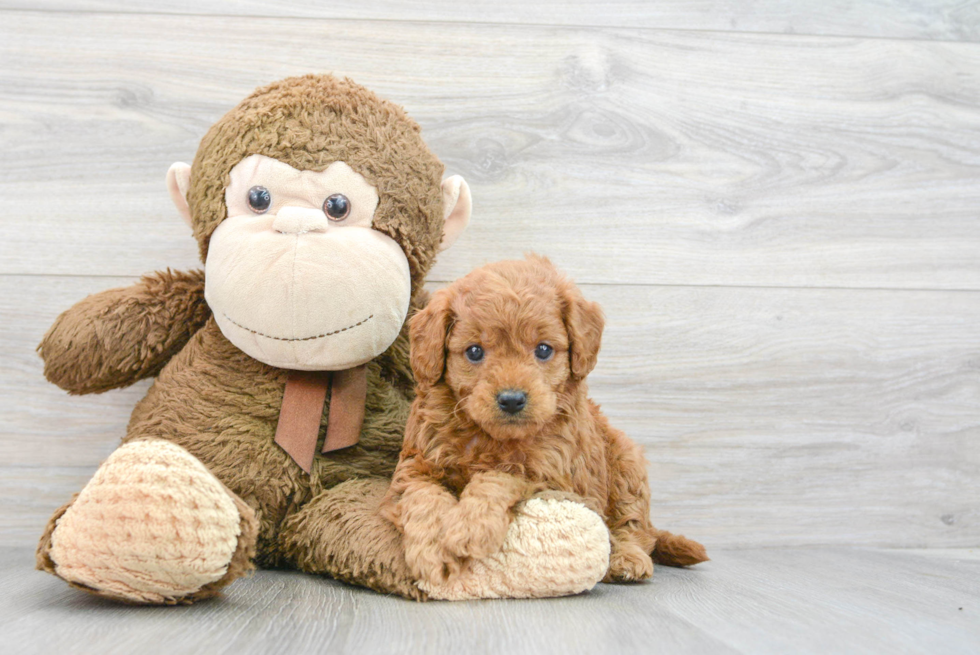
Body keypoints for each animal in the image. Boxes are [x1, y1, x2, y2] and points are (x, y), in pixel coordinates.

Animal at [378, 255, 708, 584]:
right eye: (474, 351)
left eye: (544, 349)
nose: (512, 399)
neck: (492, 438)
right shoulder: (415, 465)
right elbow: (423, 498)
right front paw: (434, 550)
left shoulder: (551, 474)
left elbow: (499, 477)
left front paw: (471, 527)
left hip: (628, 465)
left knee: (635, 526)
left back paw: (627, 559)